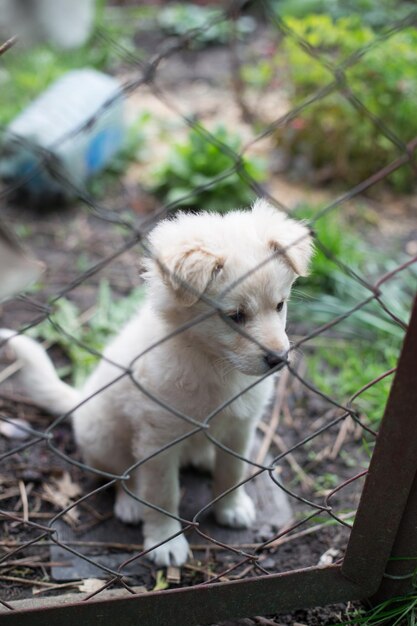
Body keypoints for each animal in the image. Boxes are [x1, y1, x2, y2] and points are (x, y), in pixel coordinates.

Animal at [0, 200, 312, 564]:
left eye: (280, 305)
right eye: (235, 316)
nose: (279, 359)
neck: (213, 363)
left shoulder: (241, 427)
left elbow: (232, 473)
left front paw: (231, 508)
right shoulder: (159, 440)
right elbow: (162, 495)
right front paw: (165, 541)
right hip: (104, 436)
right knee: (120, 476)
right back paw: (131, 504)